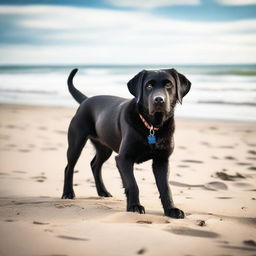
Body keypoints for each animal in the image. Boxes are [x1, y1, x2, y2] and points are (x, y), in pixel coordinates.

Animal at [61, 68, 190, 218]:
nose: (159, 100)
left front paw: (171, 209)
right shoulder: (124, 158)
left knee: (95, 165)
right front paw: (134, 206)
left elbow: (165, 187)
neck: (152, 127)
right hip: (76, 142)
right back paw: (68, 193)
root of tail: (86, 100)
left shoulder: (161, 161)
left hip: (105, 148)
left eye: (169, 85)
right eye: (149, 86)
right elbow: (133, 184)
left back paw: (103, 191)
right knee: (69, 168)